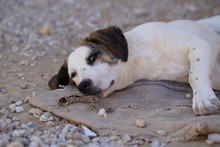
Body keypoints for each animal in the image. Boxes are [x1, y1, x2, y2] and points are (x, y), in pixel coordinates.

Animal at [49, 15, 220, 116]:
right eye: (73, 75)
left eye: (92, 57)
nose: (82, 86)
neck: (142, 58)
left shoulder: (199, 45)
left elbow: (194, 74)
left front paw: (203, 98)